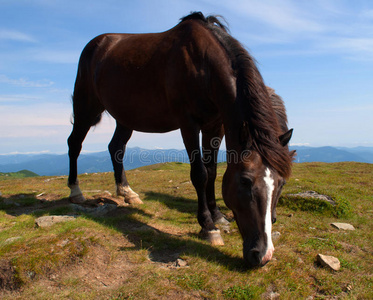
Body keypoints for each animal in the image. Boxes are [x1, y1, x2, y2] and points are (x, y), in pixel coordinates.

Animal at [67, 11, 294, 268]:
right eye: (245, 181)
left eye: (281, 183)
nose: (263, 255)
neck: (203, 65)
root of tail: (96, 44)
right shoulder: (188, 124)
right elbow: (200, 174)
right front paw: (208, 226)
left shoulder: (215, 126)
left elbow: (212, 171)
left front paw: (218, 216)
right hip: (86, 107)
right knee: (74, 144)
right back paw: (76, 192)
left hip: (125, 117)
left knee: (116, 147)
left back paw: (127, 192)